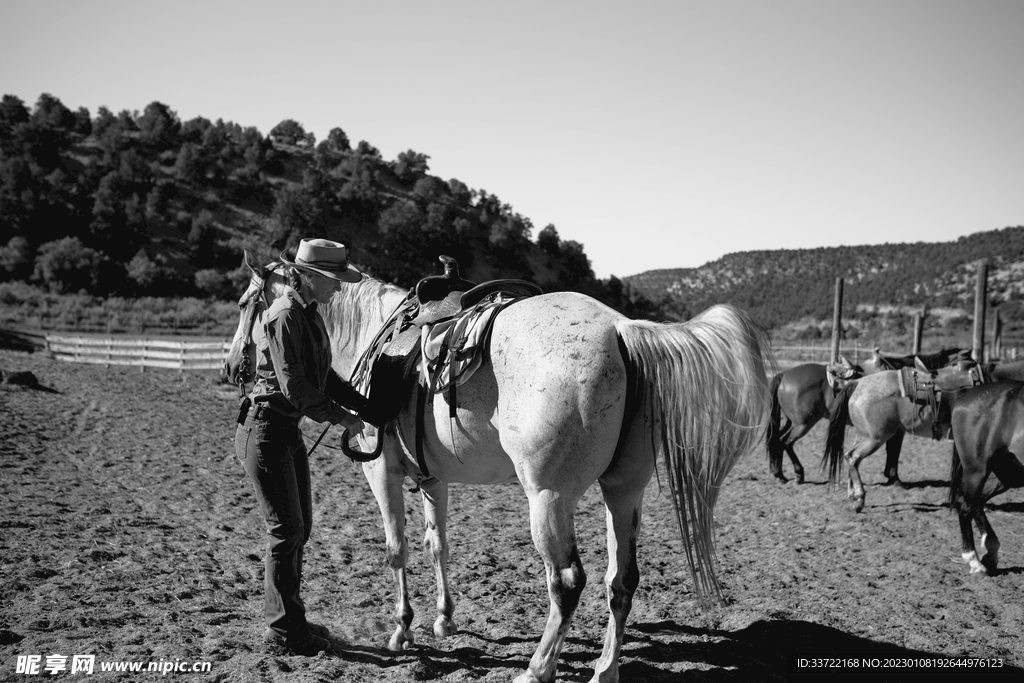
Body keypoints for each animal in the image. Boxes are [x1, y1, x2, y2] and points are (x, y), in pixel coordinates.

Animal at [225, 252, 773, 683]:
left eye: (246, 303)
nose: (231, 367)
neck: (374, 337)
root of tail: (620, 329)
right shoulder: (433, 478)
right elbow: (438, 543)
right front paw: (444, 620)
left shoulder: (381, 472)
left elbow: (396, 549)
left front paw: (401, 630)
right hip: (623, 491)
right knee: (622, 580)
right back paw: (604, 669)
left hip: (548, 499)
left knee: (567, 581)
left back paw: (537, 669)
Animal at [822, 363, 985, 512]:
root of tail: (858, 383)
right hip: (875, 439)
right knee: (853, 457)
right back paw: (859, 498)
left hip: (866, 436)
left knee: (850, 457)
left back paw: (853, 494)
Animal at [948, 381, 1024, 574]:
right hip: (977, 470)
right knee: (966, 507)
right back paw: (974, 561)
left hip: (1007, 475)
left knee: (976, 503)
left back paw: (990, 551)